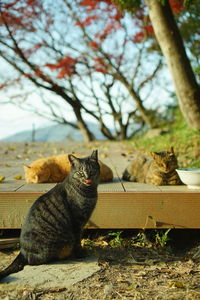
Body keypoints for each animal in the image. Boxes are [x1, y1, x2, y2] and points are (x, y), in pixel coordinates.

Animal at [0, 151, 100, 280]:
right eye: (80, 172)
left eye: (92, 170)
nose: (87, 177)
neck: (89, 192)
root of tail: (22, 251)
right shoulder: (77, 223)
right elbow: (78, 240)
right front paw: (80, 253)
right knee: (32, 261)